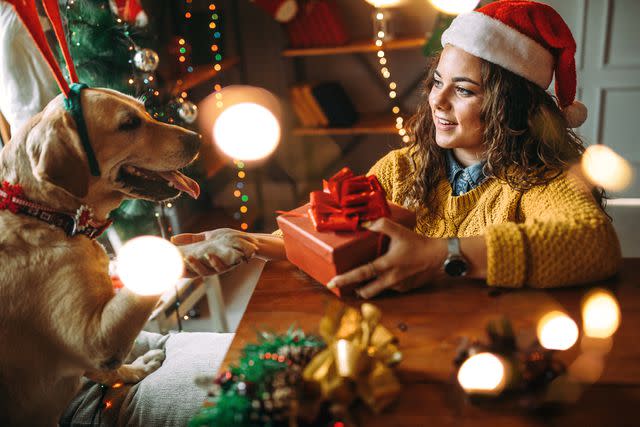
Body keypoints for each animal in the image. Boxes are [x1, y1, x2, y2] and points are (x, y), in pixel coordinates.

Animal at [0, 88, 202, 426]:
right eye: (129, 123)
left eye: (144, 111)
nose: (198, 138)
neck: (42, 212)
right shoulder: (95, 338)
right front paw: (213, 245)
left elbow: (107, 371)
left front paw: (135, 370)